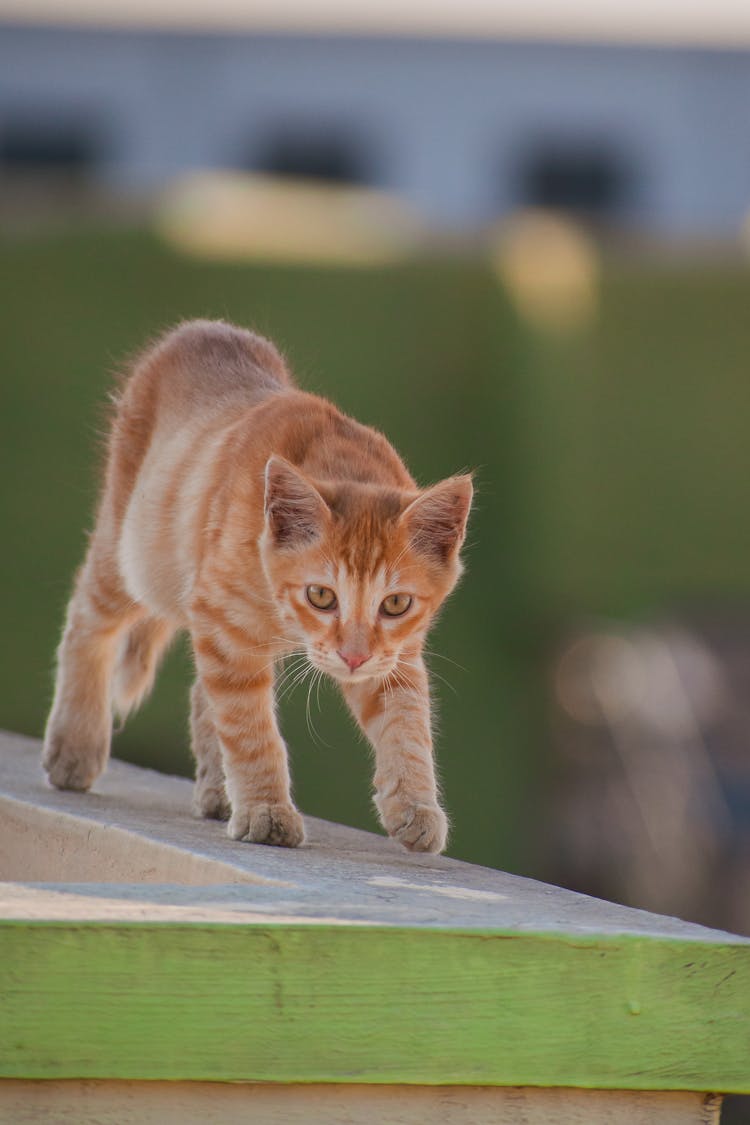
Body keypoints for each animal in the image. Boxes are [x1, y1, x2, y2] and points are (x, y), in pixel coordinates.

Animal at [42, 324, 470, 850]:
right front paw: (267, 810)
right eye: (321, 596)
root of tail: (205, 328)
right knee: (87, 619)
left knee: (201, 693)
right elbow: (249, 728)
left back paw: (217, 789)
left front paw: (414, 805)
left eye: (395, 604)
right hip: (134, 555)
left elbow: (406, 723)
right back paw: (74, 744)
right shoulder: (226, 627)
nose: (352, 658)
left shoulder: (395, 655)